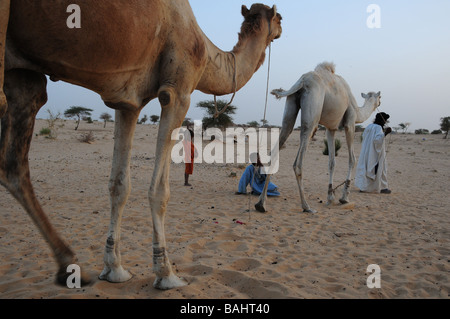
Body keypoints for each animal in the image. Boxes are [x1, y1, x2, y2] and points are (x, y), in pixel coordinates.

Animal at [0, 0, 282, 292]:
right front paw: (166, 273)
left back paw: (68, 265)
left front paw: (114, 269)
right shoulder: (177, 91)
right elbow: (159, 191)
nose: (281, 29)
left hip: (22, 76)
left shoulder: (127, 103)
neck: (205, 52)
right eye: (279, 18)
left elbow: (118, 186)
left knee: (14, 164)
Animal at [255, 61, 382, 214]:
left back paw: (261, 204)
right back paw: (306, 206)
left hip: (290, 107)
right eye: (379, 97)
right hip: (312, 113)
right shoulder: (350, 123)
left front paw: (330, 197)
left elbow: (331, 162)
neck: (358, 111)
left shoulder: (331, 129)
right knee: (298, 163)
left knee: (281, 139)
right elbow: (352, 159)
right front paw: (344, 197)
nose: (380, 103)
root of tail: (302, 81)